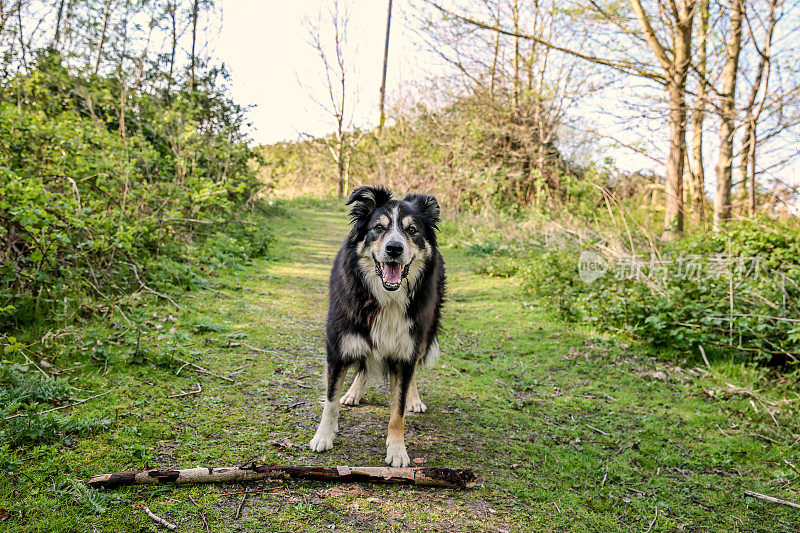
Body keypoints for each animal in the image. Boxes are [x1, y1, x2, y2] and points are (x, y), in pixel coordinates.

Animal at [308, 186, 444, 466]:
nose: (394, 248)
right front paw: (323, 436)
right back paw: (353, 393)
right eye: (379, 228)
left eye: (412, 230)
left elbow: (398, 409)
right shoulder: (338, 347)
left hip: (424, 332)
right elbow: (330, 399)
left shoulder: (404, 353)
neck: (384, 297)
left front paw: (397, 450)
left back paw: (414, 399)